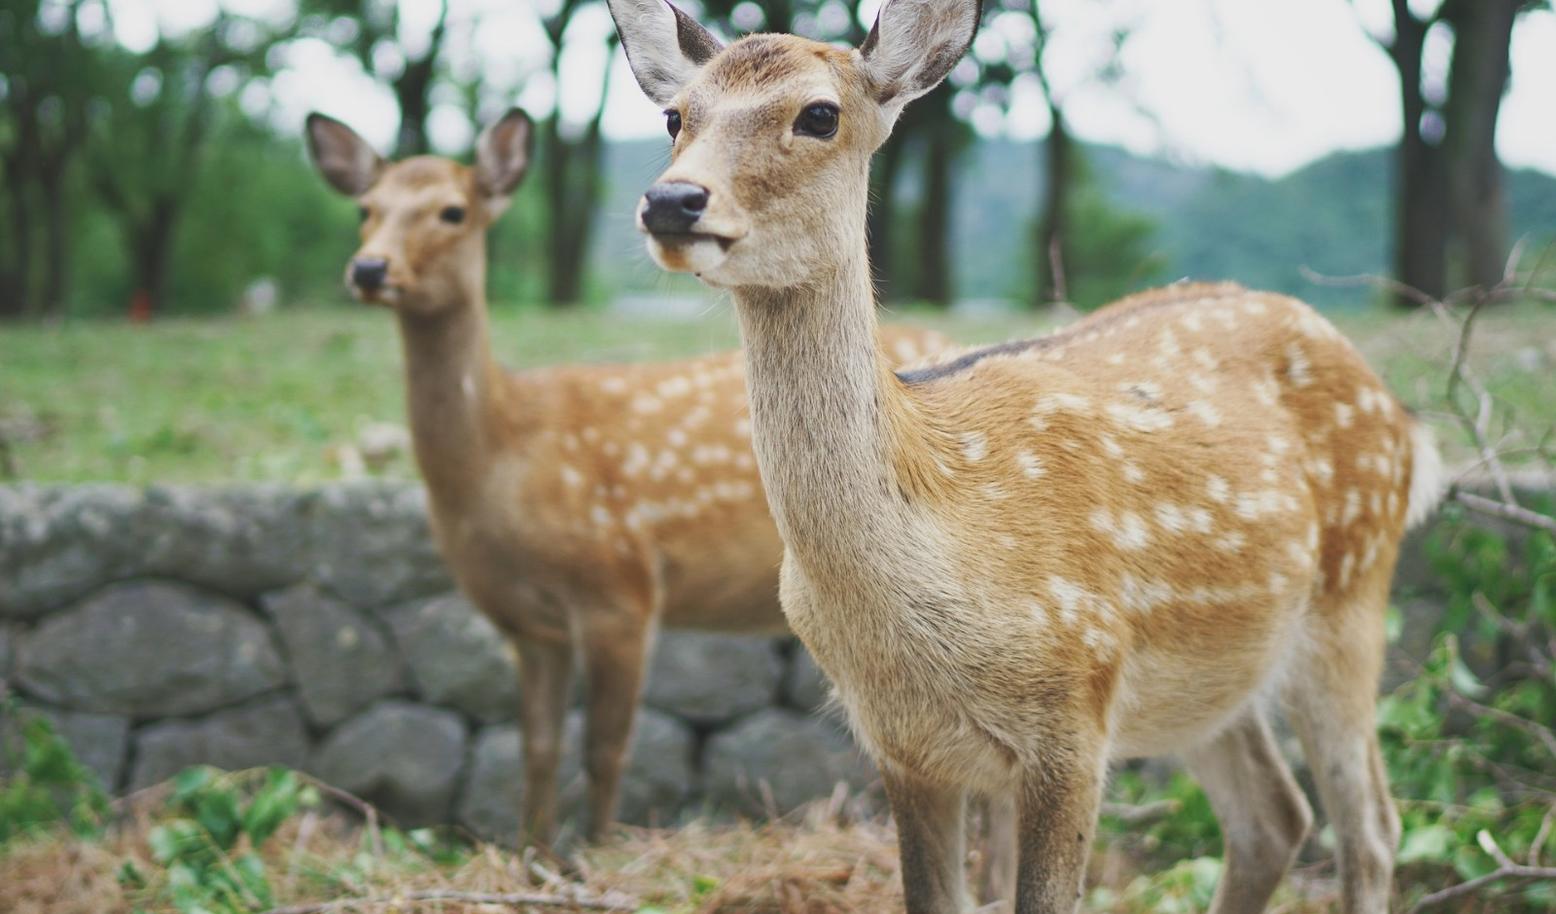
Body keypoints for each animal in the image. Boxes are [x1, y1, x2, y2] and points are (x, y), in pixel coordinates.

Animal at [297, 105, 939, 847]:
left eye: (452, 211)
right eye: (365, 209)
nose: (370, 268)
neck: (503, 458)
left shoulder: (621, 587)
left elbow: (607, 750)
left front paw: (595, 852)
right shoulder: (529, 624)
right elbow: (536, 747)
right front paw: (533, 853)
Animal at [603, 3, 1443, 909]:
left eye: (819, 114)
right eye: (674, 116)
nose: (673, 198)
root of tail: (1405, 422)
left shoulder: (1075, 711)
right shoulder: (900, 745)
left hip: (1350, 599)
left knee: (1371, 826)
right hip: (1211, 678)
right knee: (1274, 817)